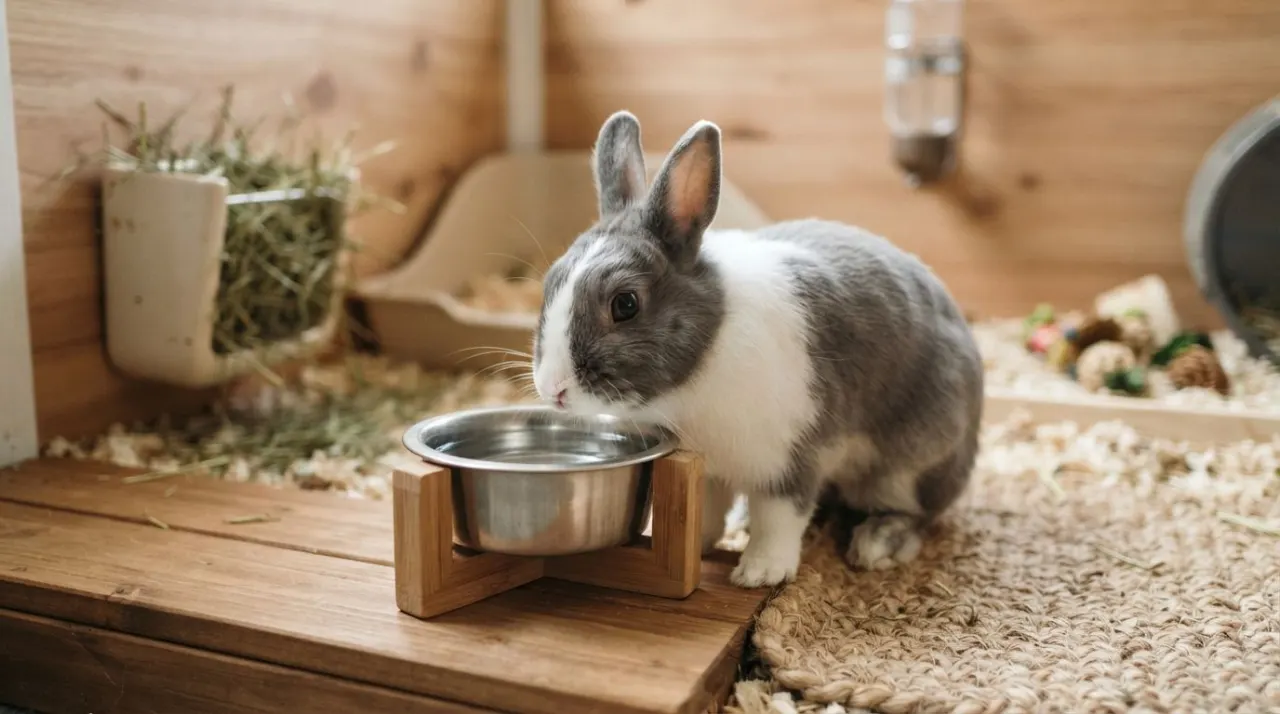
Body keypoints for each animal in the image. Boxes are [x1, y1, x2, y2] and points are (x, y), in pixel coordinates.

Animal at [531, 110, 984, 588]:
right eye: (551, 282)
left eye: (625, 304)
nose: (553, 389)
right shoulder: (708, 468)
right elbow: (706, 509)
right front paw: (702, 544)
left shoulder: (790, 461)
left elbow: (780, 519)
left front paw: (760, 573)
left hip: (909, 467)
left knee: (918, 513)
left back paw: (878, 542)